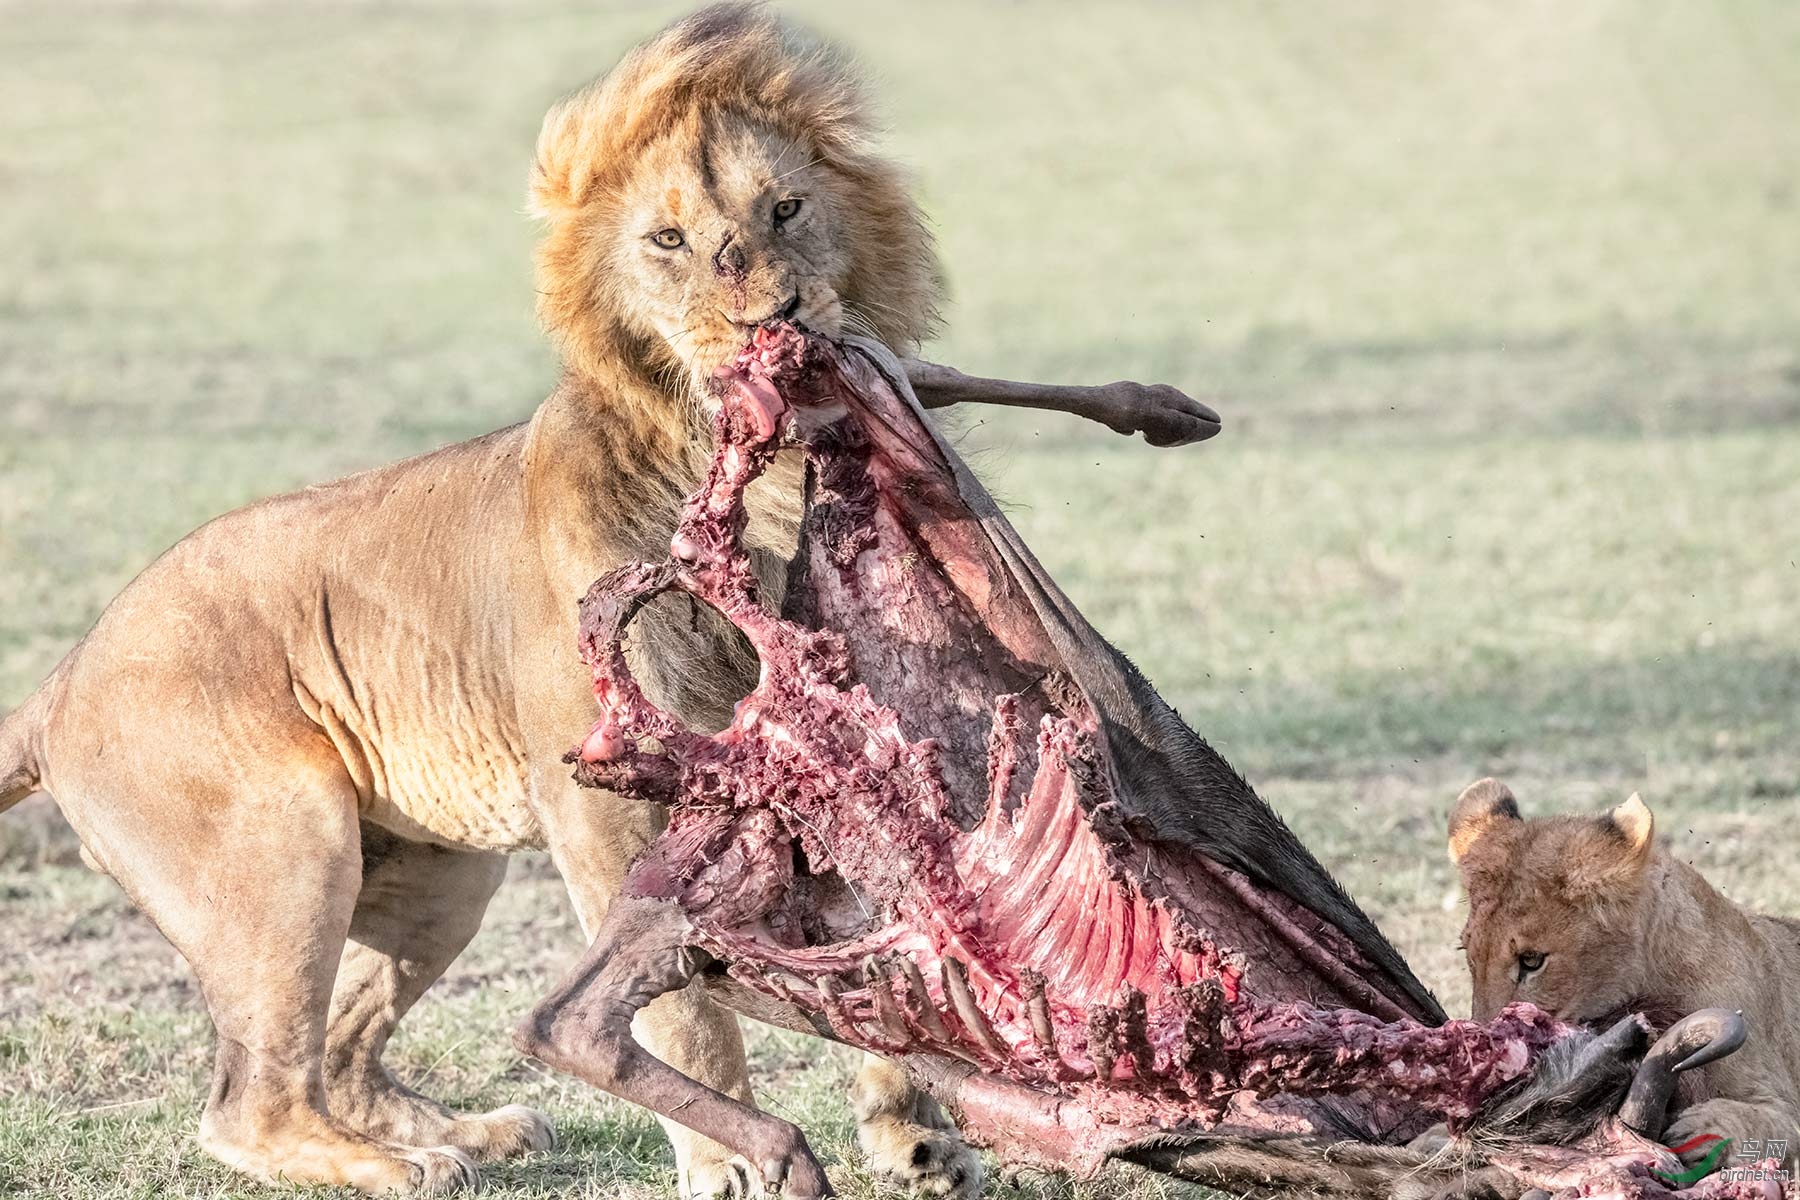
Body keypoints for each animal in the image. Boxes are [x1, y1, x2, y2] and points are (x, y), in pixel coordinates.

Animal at [0, 4, 1216, 1194]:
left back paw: (472, 1132)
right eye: (667, 241)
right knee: (250, 1099)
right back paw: (411, 1164)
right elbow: (686, 1016)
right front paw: (732, 1163)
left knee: (339, 1050)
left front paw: (912, 1132)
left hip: (441, 878)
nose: (772, 318)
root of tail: (59, 678)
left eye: (787, 209)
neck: (755, 487)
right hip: (284, 850)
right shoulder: (600, 796)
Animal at [1447, 780, 1800, 1173]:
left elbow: (1766, 1122)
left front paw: (1699, 1130)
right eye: (1469, 954)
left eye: (1532, 960)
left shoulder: (1781, 1102)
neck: (1656, 978)